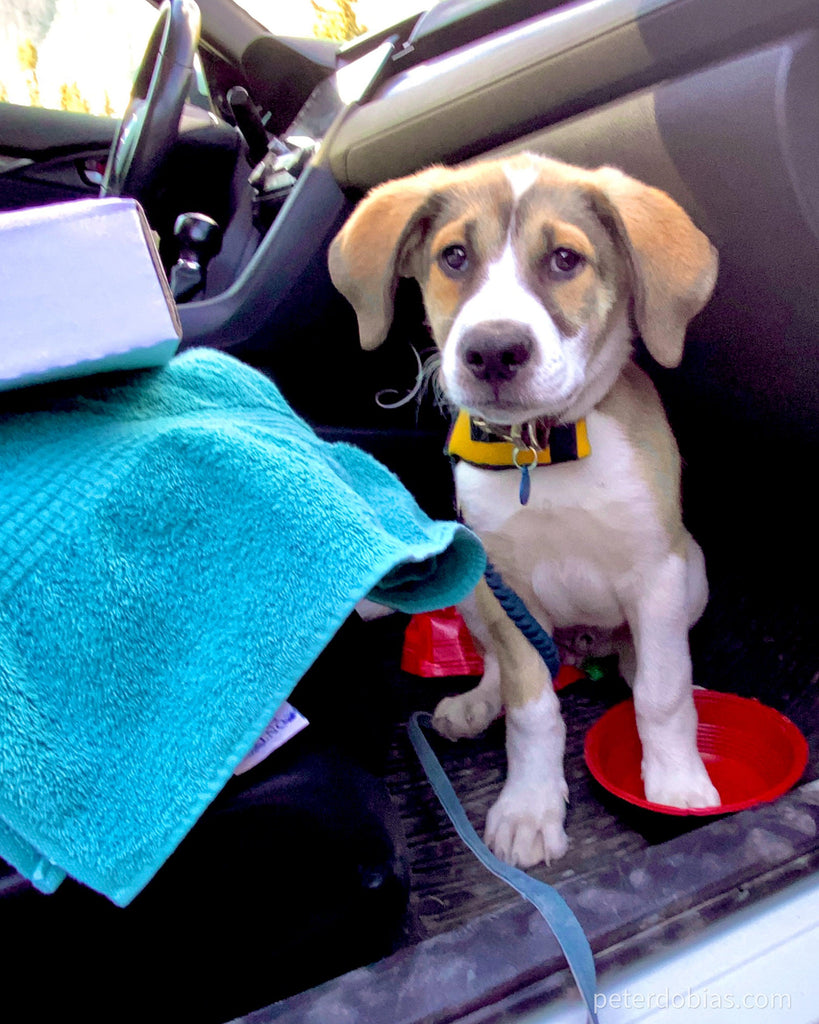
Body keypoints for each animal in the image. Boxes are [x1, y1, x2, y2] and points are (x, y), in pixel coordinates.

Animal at [325, 151, 716, 868]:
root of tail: (580, 647)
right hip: (476, 593)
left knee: (643, 662)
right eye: (453, 256)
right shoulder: (508, 587)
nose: (493, 351)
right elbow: (531, 706)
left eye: (565, 259)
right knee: (502, 671)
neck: (544, 452)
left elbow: (662, 691)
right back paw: (476, 704)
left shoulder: (656, 572)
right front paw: (530, 808)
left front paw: (676, 782)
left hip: (691, 570)